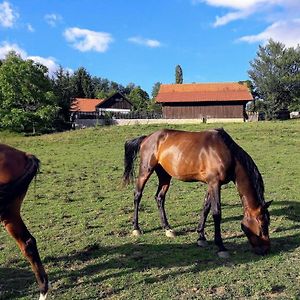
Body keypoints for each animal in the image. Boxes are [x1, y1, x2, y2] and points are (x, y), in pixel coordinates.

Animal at [123, 127, 272, 256]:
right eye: (262, 225)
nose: (266, 250)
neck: (227, 153)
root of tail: (146, 138)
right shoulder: (214, 183)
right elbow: (216, 212)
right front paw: (220, 246)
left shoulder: (211, 184)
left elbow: (206, 207)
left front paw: (201, 237)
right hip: (146, 170)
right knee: (137, 195)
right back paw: (136, 228)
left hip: (165, 175)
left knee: (159, 198)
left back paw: (167, 228)